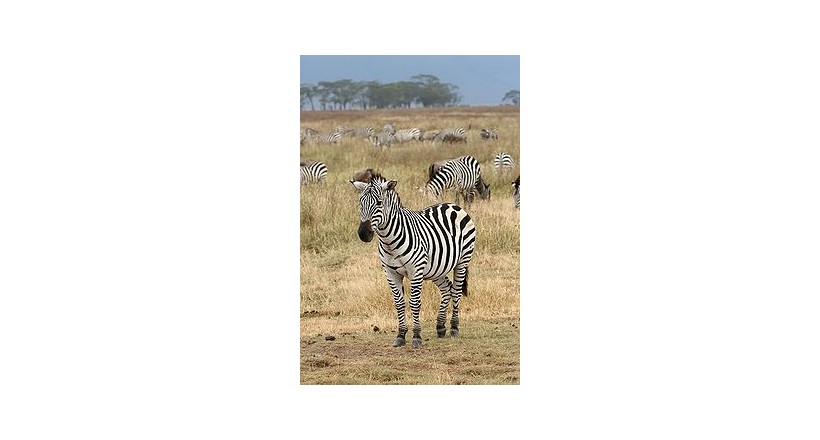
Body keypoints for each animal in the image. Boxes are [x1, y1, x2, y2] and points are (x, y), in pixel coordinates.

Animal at [351, 173, 477, 348]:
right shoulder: (390, 273)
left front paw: (416, 336)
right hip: (437, 268)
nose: (363, 233)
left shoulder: (415, 271)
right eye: (360, 203)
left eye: (379, 203)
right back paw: (440, 326)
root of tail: (453, 205)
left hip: (462, 261)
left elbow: (415, 303)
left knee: (456, 291)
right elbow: (399, 303)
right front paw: (401, 335)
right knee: (447, 289)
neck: (389, 242)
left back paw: (454, 328)